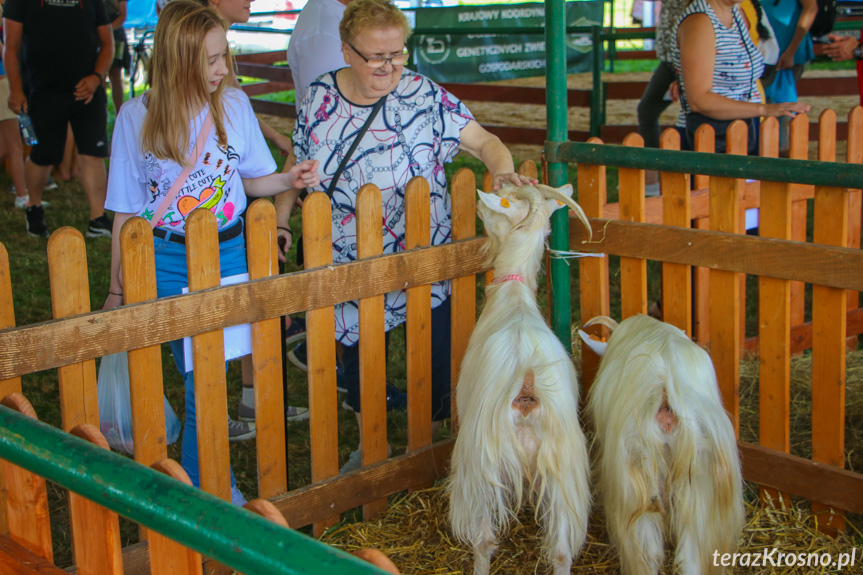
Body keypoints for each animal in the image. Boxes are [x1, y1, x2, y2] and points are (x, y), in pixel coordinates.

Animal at [446, 183, 592, 575]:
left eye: (504, 202)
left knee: (484, 540)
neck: (513, 297)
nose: (479, 201)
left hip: (481, 464)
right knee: (561, 551)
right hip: (562, 469)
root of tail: (526, 381)